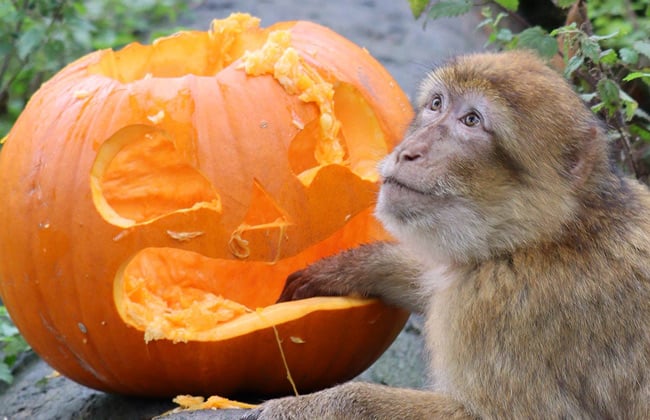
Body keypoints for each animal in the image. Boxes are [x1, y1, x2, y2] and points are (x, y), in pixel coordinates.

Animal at [243, 49, 650, 419]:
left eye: (471, 120)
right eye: (437, 104)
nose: (408, 152)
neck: (541, 238)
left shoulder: (506, 309)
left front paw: (308, 407)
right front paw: (355, 266)